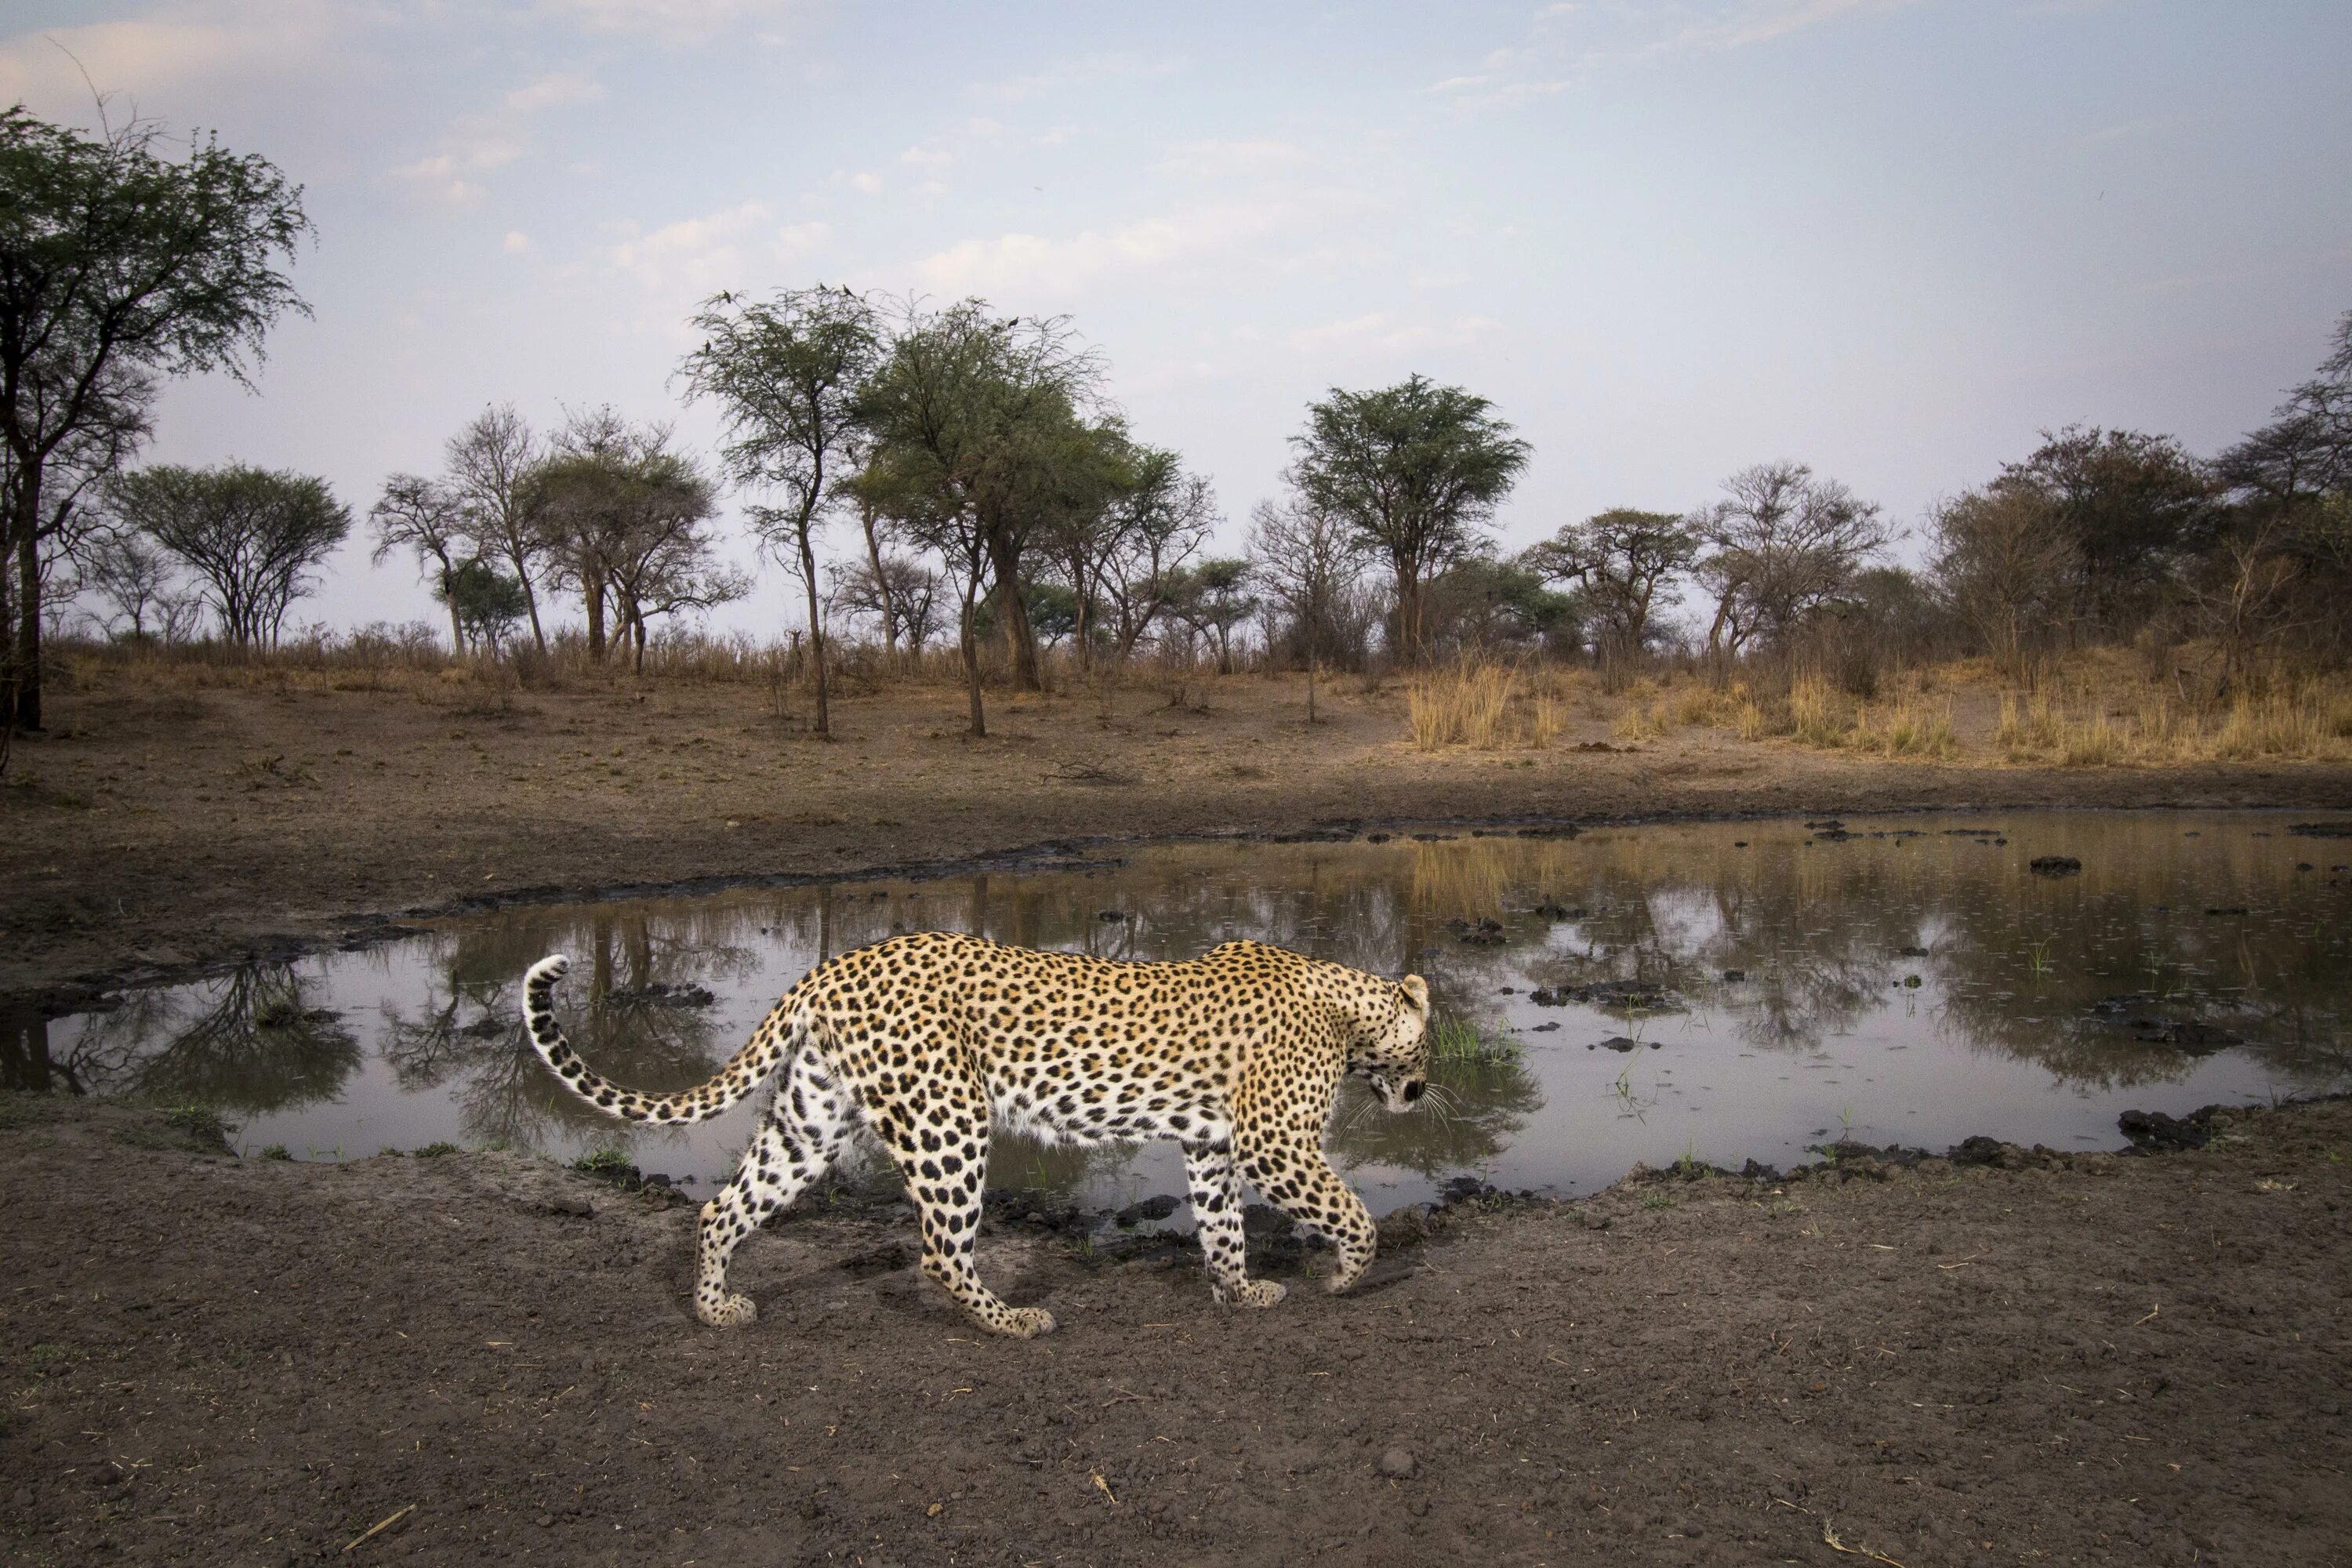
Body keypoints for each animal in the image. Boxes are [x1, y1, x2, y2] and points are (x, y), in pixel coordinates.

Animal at [520, 931, 1430, 1335]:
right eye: (1429, 1047)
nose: (1422, 1091)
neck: (1350, 1009)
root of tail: (832, 966)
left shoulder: (1211, 1144)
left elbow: (1222, 1227)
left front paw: (1238, 1292)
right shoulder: (1277, 1142)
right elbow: (1354, 1214)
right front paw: (1343, 1278)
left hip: (810, 1120)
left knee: (722, 1208)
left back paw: (716, 1308)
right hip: (948, 1120)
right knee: (939, 1250)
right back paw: (1013, 1320)